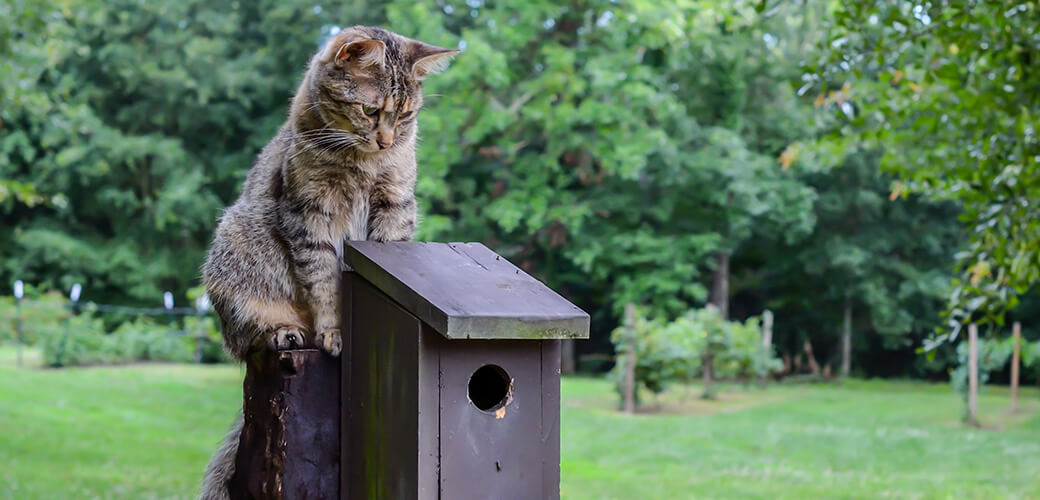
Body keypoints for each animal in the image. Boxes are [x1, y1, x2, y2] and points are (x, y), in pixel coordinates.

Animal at [195, 27, 455, 498]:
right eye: (371, 111)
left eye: (406, 115)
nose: (386, 140)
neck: (362, 162)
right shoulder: (308, 217)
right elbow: (324, 283)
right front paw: (334, 330)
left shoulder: (395, 206)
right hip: (235, 247)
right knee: (245, 339)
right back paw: (284, 332)